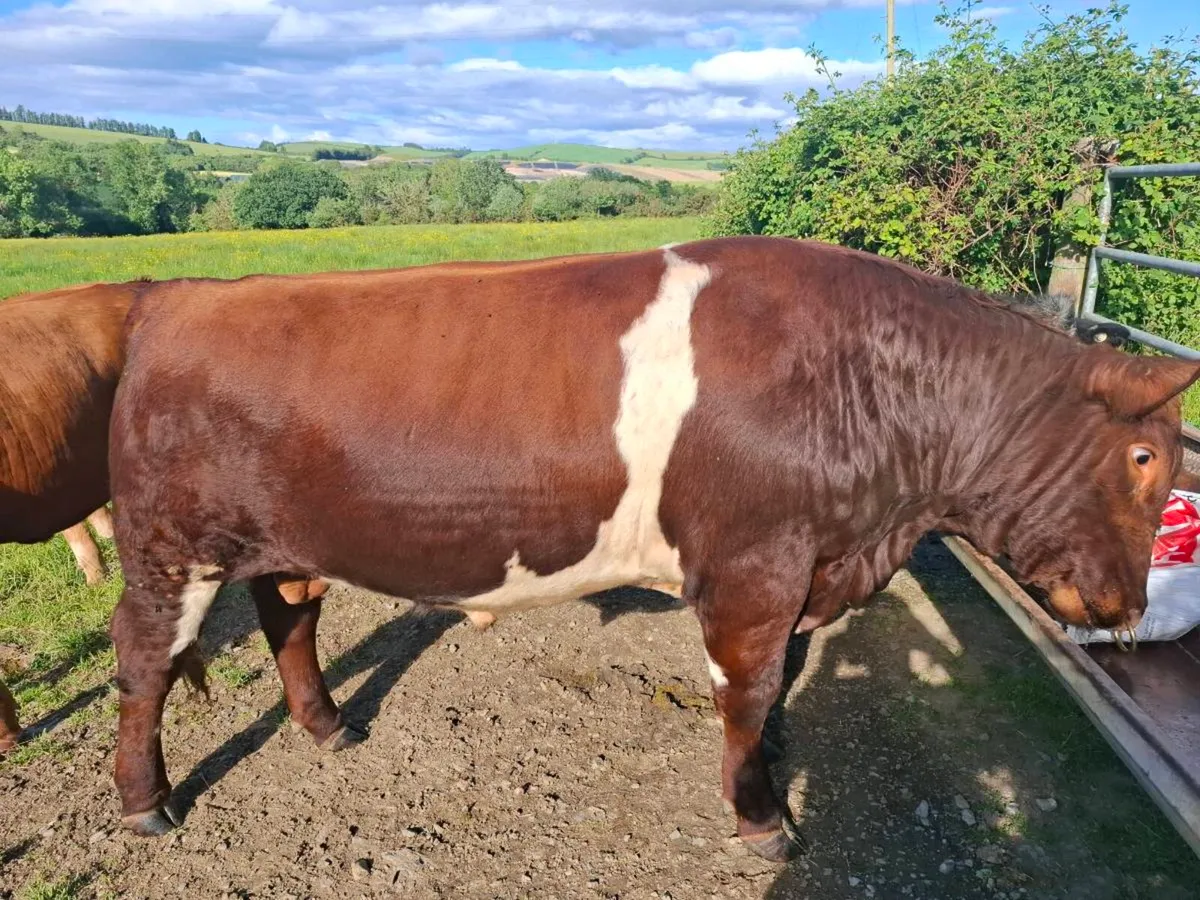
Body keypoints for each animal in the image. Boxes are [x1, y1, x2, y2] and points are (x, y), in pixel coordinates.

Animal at [104, 237, 1198, 862]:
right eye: (1145, 456)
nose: (1130, 607)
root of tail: (175, 296)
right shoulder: (753, 568)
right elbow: (749, 689)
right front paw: (760, 817)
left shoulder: (807, 566)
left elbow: (789, 678)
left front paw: (781, 762)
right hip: (167, 546)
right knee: (145, 661)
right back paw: (147, 804)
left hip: (282, 542)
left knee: (289, 616)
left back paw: (329, 727)